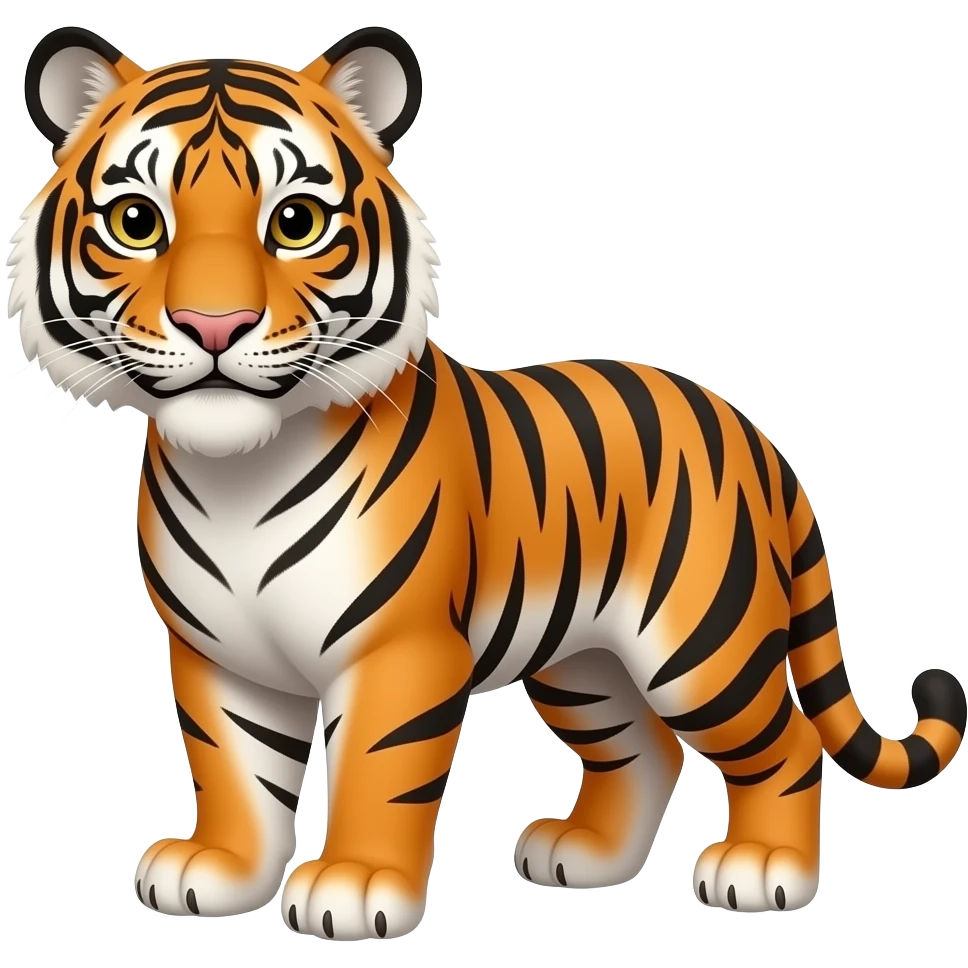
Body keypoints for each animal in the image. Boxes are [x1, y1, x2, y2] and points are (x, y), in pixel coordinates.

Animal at [8, 23, 965, 941]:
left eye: (296, 222)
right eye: (137, 221)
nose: (215, 325)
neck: (238, 473)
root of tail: (750, 430)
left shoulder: (401, 649)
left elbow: (378, 769)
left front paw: (354, 887)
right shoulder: (221, 655)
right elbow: (233, 769)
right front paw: (219, 871)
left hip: (703, 646)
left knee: (786, 745)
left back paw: (766, 871)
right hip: (584, 660)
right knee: (643, 749)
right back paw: (584, 856)